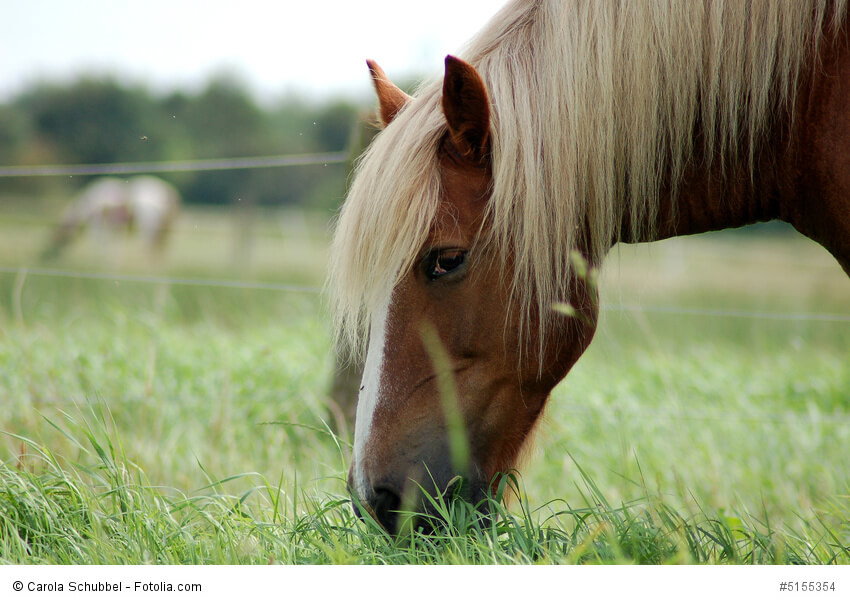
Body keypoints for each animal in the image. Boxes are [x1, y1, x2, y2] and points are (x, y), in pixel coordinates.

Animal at [42, 175, 180, 261]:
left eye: (56, 237)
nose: (46, 256)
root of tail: (167, 192)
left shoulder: (99, 226)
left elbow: (101, 246)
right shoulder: (114, 229)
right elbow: (112, 249)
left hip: (148, 227)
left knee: (149, 248)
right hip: (162, 230)